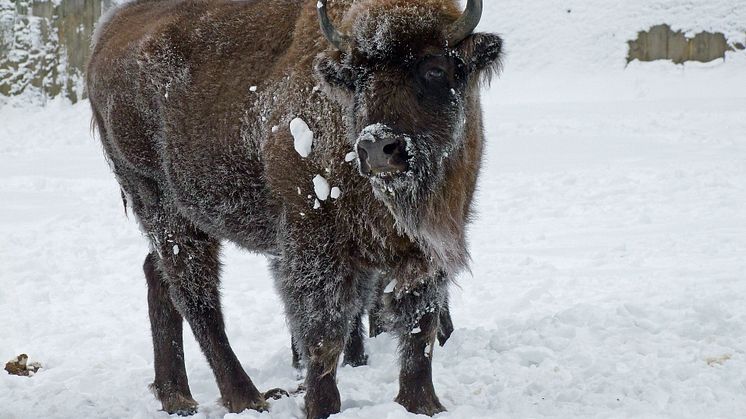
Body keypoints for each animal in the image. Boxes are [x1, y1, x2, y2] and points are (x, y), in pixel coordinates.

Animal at [88, 0, 500, 418]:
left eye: (435, 69)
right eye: (357, 78)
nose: (377, 147)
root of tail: (106, 34)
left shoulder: (427, 247)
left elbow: (420, 324)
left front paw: (422, 403)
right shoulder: (314, 244)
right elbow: (323, 328)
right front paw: (322, 405)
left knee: (160, 277)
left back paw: (177, 396)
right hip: (161, 205)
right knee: (198, 299)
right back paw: (247, 397)